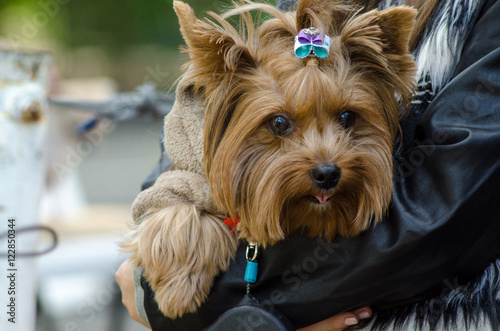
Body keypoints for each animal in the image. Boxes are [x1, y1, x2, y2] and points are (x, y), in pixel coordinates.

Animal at [123, 0, 416, 322]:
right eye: (278, 123)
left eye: (347, 116)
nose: (327, 173)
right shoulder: (180, 177)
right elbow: (175, 211)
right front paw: (177, 291)